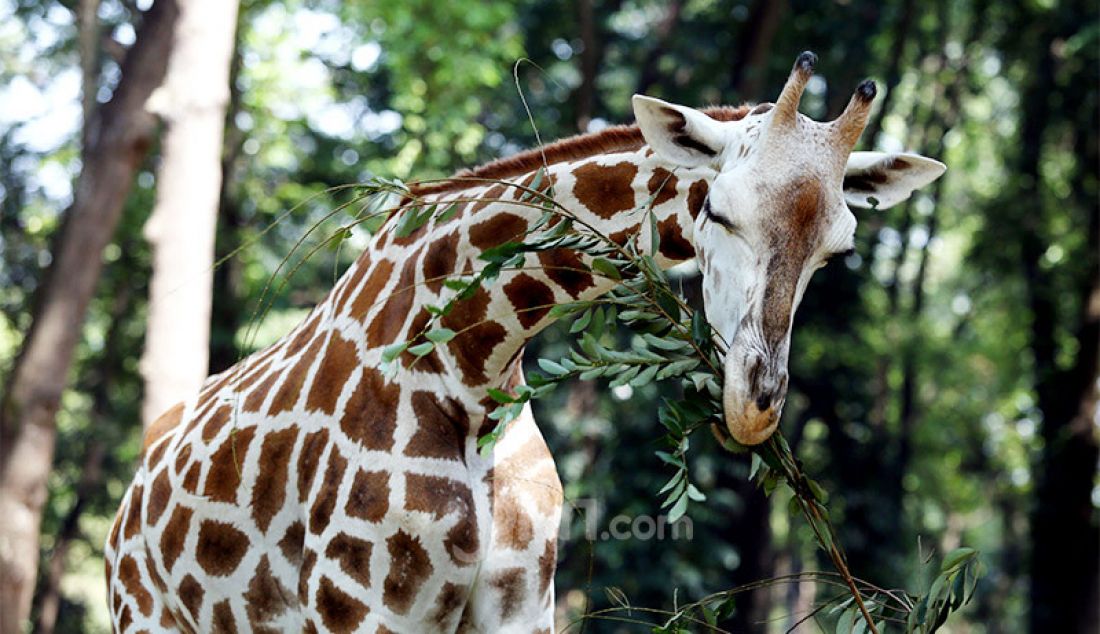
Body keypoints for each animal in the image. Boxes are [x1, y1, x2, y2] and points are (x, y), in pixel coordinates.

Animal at [103, 52, 946, 629]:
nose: (754, 406)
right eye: (717, 210)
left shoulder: (519, 605)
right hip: (144, 618)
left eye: (838, 249)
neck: (471, 372)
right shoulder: (358, 607)